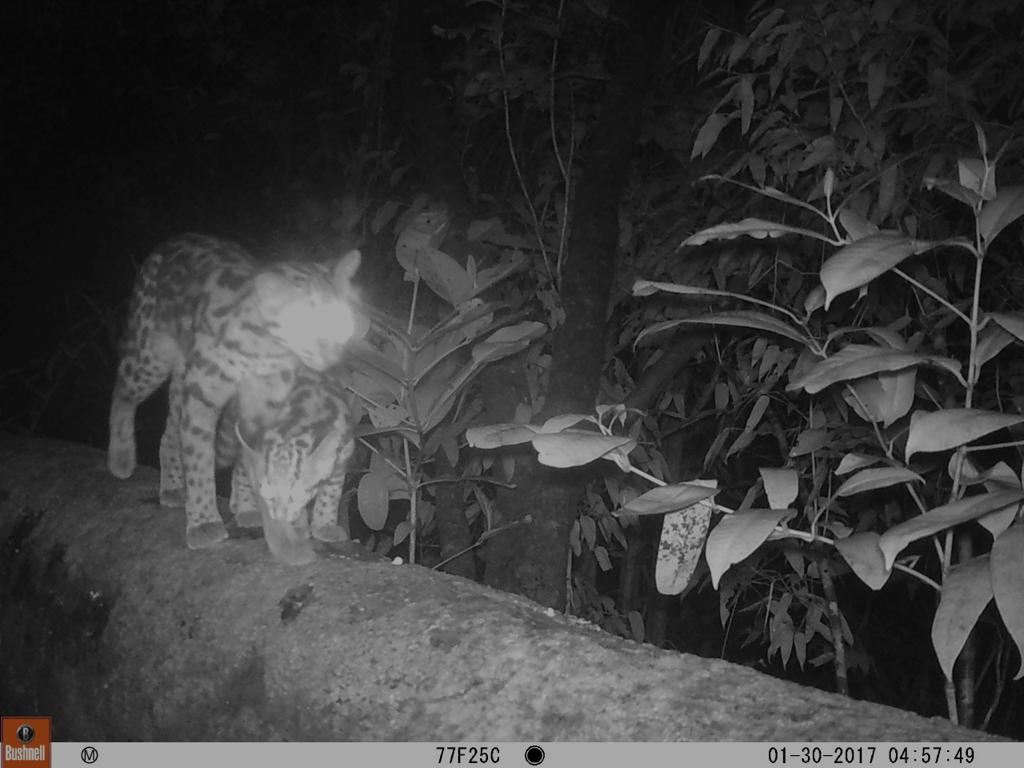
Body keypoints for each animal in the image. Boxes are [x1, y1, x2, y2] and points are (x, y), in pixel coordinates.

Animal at [216, 366, 356, 565]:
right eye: (267, 494)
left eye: (295, 495)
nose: (279, 516)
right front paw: (297, 527)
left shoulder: (341, 460)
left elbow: (330, 496)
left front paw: (324, 526)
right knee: (241, 467)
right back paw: (246, 509)